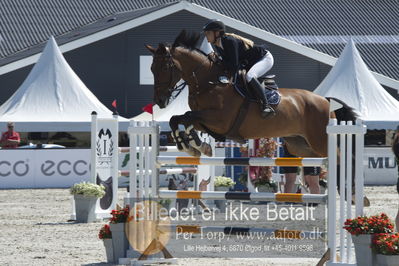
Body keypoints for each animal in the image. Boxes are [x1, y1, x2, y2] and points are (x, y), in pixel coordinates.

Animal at [145, 31, 358, 160]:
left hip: (320, 140)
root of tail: (324, 100)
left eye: (164, 68)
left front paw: (196, 145)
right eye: (151, 68)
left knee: (339, 158)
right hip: (300, 145)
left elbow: (187, 117)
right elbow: (177, 119)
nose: (160, 101)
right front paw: (192, 146)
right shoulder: (206, 121)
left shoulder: (220, 120)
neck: (208, 82)